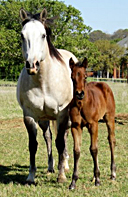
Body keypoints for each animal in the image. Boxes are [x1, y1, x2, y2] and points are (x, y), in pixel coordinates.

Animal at [16, 8, 77, 184]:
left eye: (43, 35)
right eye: (22, 35)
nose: (32, 65)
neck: (43, 82)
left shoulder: (62, 114)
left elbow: (60, 143)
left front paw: (61, 176)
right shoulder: (29, 115)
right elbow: (33, 144)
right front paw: (31, 176)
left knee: (63, 137)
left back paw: (65, 165)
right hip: (43, 119)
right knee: (48, 136)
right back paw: (51, 167)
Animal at [69, 57, 116, 189]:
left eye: (85, 76)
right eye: (72, 77)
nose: (79, 93)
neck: (81, 105)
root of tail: (104, 84)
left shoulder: (93, 125)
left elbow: (94, 149)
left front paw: (98, 180)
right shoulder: (75, 126)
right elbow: (76, 151)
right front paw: (73, 181)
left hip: (109, 118)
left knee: (111, 140)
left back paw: (112, 173)